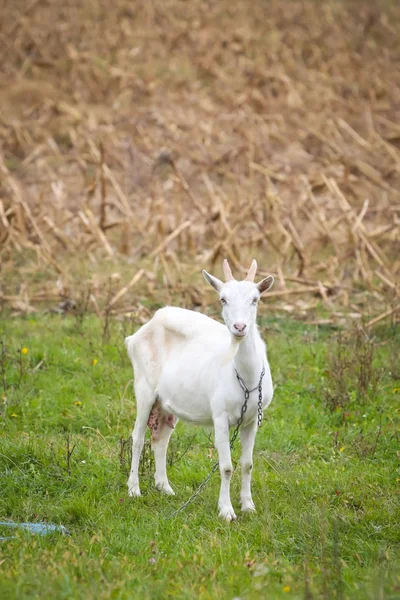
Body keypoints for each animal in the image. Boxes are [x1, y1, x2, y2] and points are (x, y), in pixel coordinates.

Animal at [126, 258, 276, 520]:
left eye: (255, 299)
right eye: (223, 299)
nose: (239, 327)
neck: (245, 379)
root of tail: (143, 329)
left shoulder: (251, 419)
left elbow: (247, 464)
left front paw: (248, 505)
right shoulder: (220, 415)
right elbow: (226, 467)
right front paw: (226, 511)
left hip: (166, 402)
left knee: (160, 440)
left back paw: (164, 487)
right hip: (144, 387)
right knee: (137, 437)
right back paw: (134, 489)